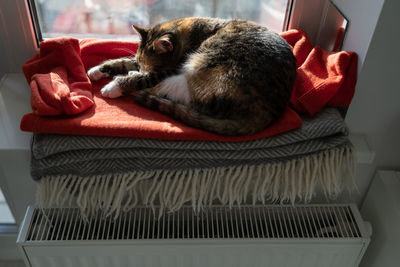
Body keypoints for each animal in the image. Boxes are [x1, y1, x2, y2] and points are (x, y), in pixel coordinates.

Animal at [87, 16, 296, 136]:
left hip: (210, 71)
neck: (194, 32)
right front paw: (98, 70)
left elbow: (146, 77)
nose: (143, 68)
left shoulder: (170, 69)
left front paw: (115, 85)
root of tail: (269, 111)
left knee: (174, 91)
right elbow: (126, 61)